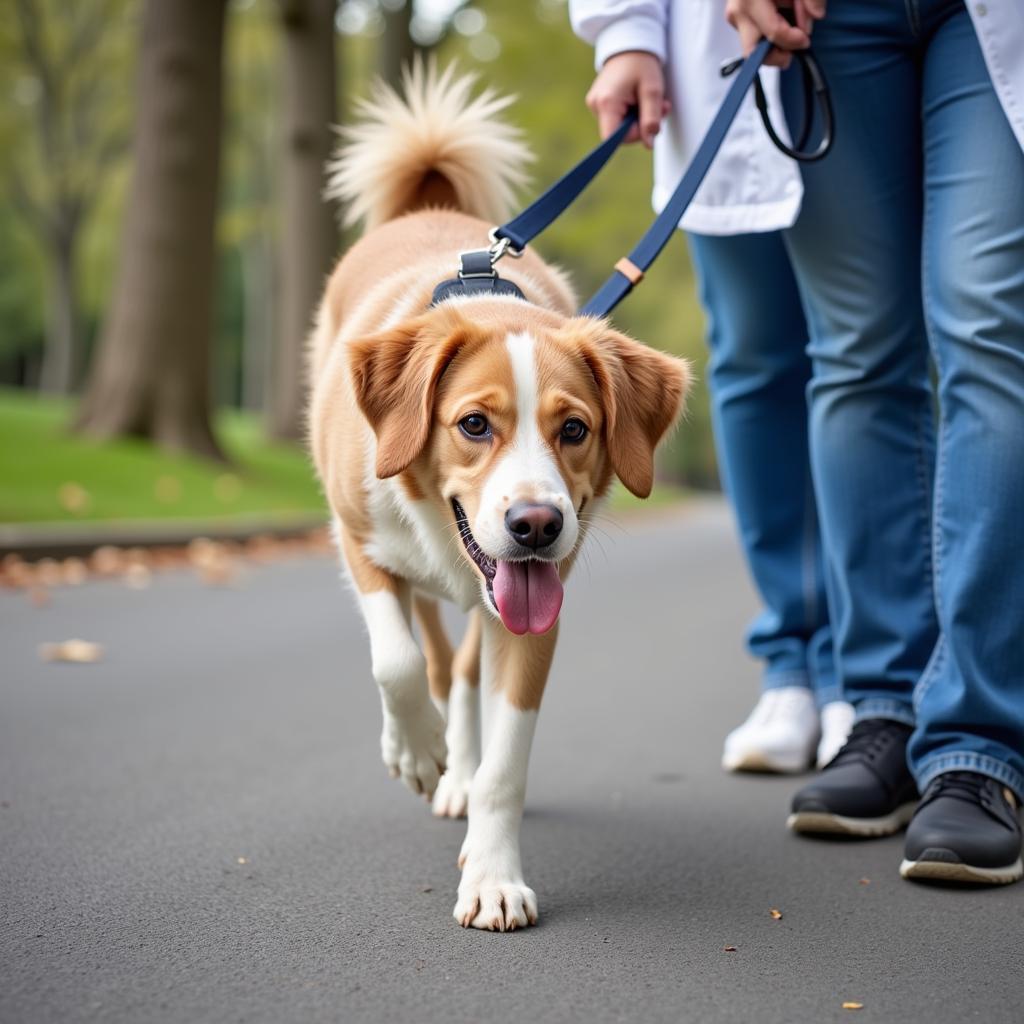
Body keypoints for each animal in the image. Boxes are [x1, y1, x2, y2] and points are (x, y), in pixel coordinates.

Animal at [303, 61, 688, 929]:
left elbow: (505, 764)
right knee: (436, 660)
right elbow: (397, 661)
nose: (537, 525)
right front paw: (416, 751)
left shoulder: (537, 614)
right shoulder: (356, 536)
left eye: (574, 429)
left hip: (495, 601)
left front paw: (491, 875)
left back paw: (460, 775)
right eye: (473, 424)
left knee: (469, 673)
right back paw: (433, 757)